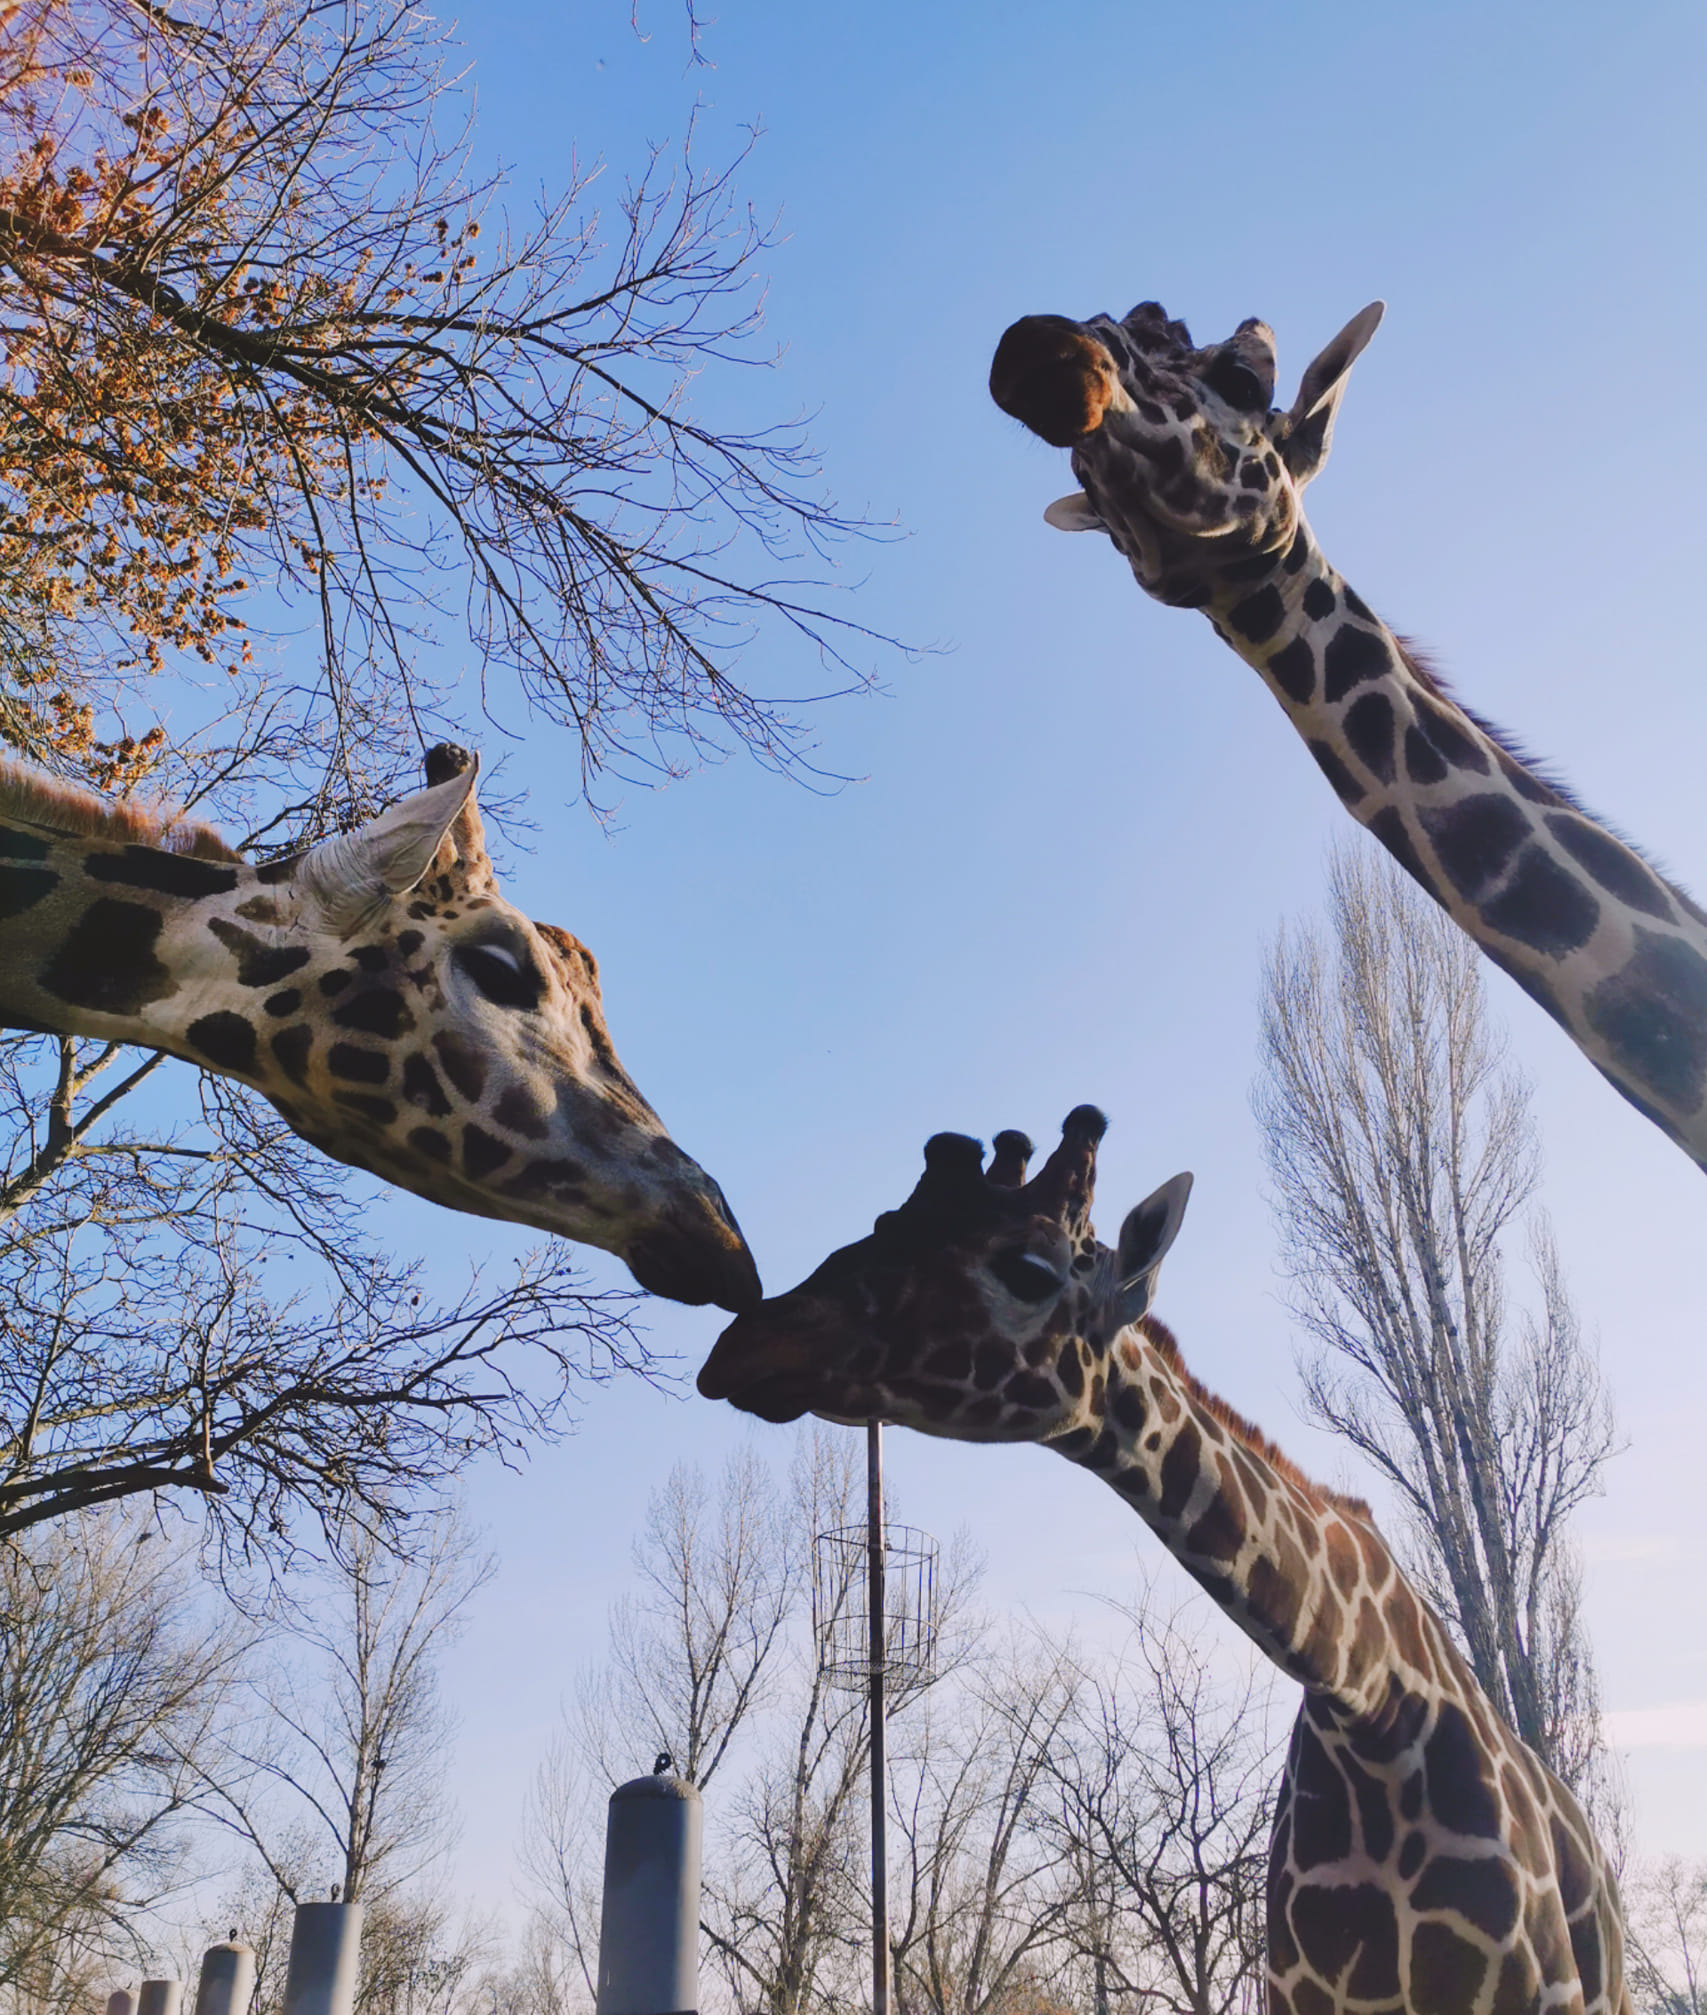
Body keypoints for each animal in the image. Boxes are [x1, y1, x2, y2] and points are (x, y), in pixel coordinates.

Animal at [705, 1104, 1628, 2015]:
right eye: (886, 1220)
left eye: (1029, 1270)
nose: (747, 1343)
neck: (1367, 1702)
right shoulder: (1299, 1996)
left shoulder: (1540, 1995)